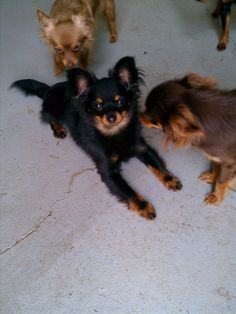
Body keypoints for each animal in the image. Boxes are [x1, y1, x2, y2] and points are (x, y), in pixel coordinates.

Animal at [11, 56, 182, 220]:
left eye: (120, 101)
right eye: (98, 106)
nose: (111, 117)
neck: (114, 133)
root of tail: (49, 88)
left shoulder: (141, 148)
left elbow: (156, 165)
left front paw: (170, 179)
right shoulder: (108, 171)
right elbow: (127, 190)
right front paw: (143, 206)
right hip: (53, 110)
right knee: (47, 117)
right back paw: (59, 129)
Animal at [140, 73, 236, 206]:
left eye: (151, 119)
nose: (137, 115)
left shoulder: (229, 163)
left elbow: (221, 181)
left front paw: (216, 197)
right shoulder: (218, 158)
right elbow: (216, 166)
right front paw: (212, 177)